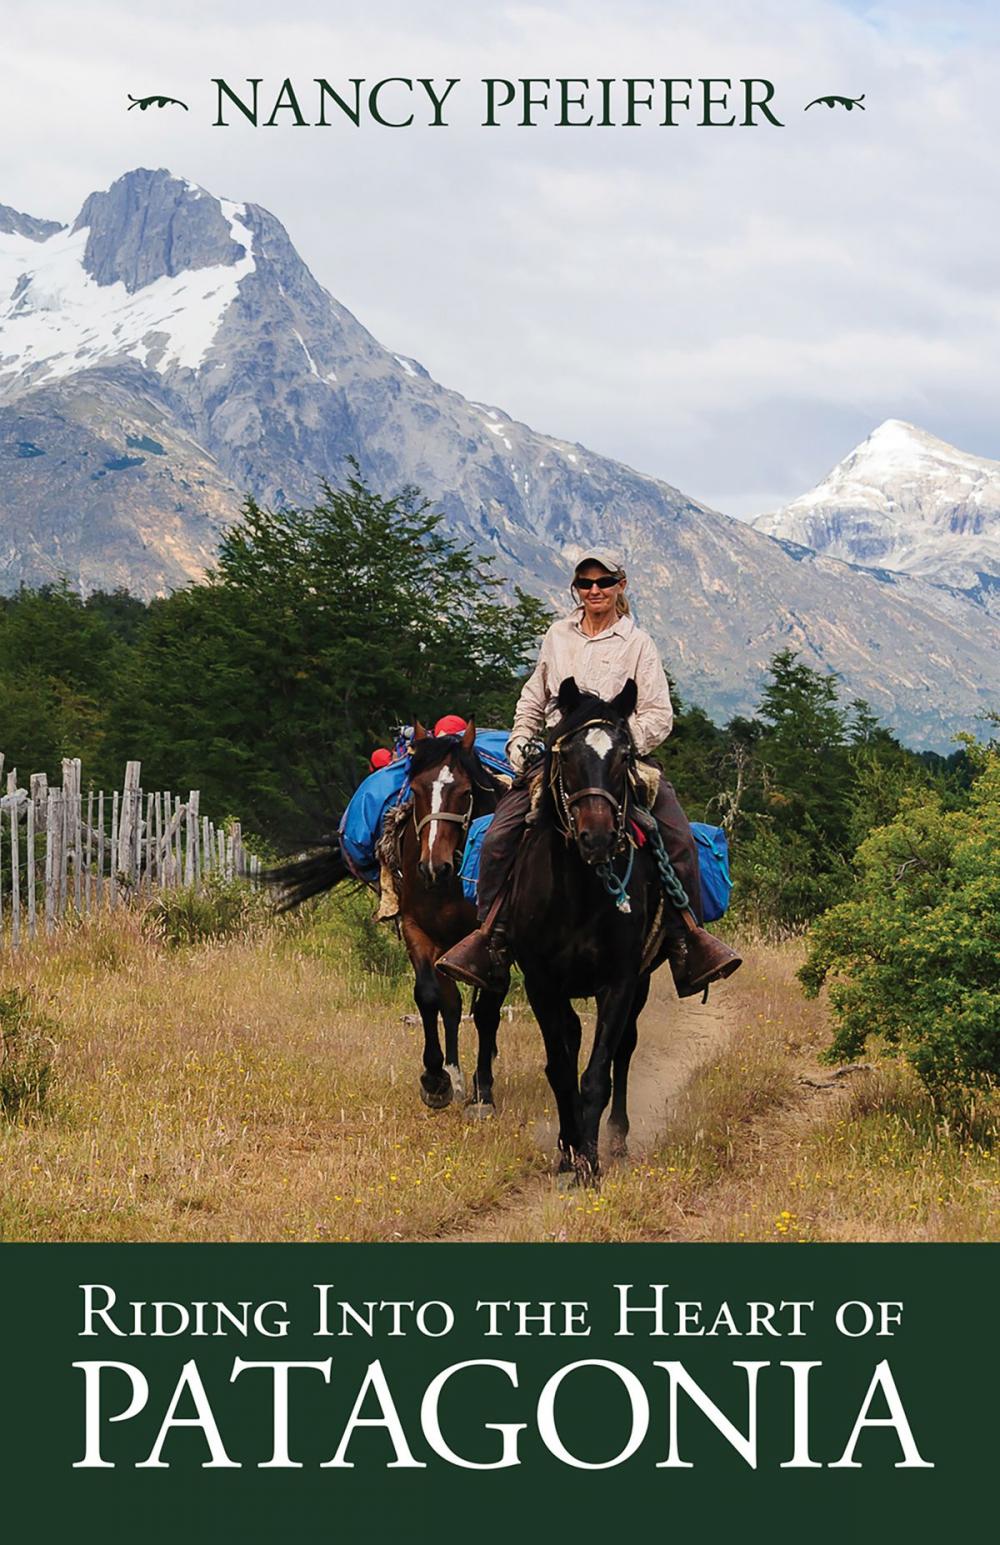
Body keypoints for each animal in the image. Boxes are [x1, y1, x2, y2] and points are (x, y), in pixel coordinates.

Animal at [267, 723, 510, 1124]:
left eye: (464, 792)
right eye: (416, 789)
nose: (433, 866)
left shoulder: (494, 939)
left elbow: (488, 1009)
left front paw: (483, 1093)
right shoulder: (418, 931)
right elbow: (430, 997)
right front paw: (435, 1080)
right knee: (454, 1005)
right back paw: (456, 1077)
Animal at [510, 676, 673, 1180]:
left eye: (624, 756)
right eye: (565, 756)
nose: (597, 837)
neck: (580, 892)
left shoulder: (619, 981)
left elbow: (598, 1071)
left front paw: (591, 1160)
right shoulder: (541, 983)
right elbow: (561, 1068)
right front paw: (568, 1151)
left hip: (641, 982)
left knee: (624, 1049)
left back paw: (616, 1138)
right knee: (572, 1037)